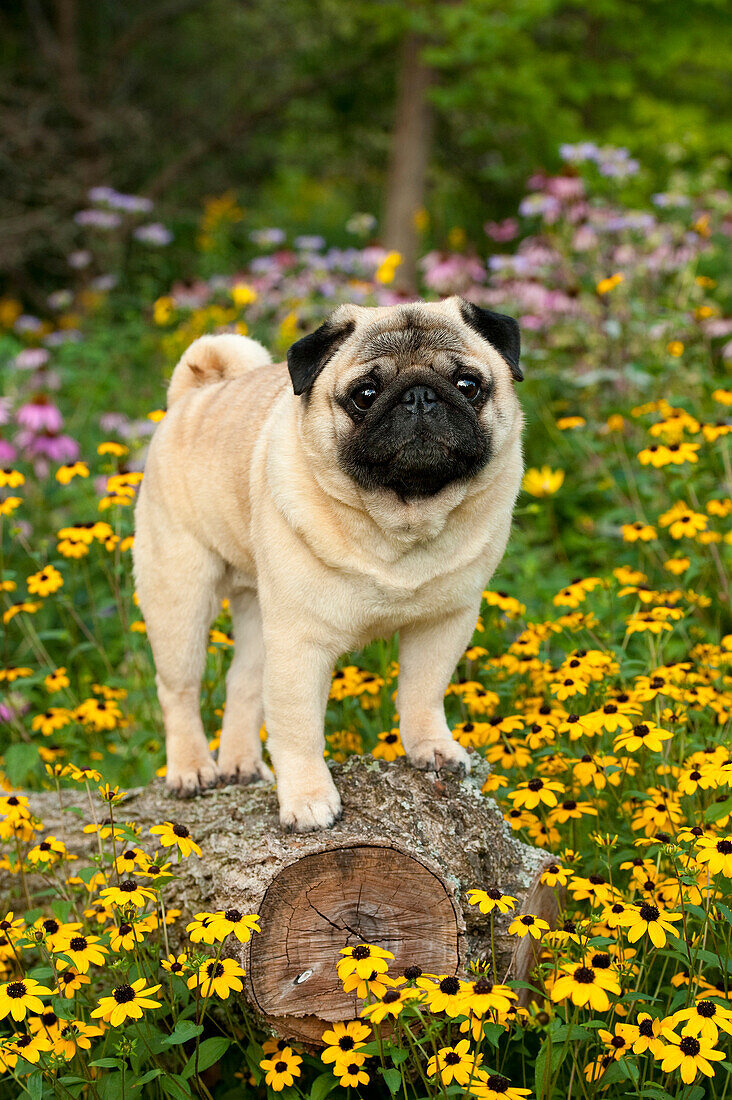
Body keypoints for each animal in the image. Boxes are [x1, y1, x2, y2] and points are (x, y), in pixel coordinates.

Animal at [134, 297, 521, 827]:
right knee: (179, 690)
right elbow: (298, 731)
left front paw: (432, 748)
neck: (402, 520)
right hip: (181, 599)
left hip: (259, 612)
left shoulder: (443, 624)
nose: (420, 397)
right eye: (365, 395)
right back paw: (192, 769)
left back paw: (240, 764)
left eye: (468, 385)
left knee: (243, 682)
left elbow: (422, 693)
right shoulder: (300, 644)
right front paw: (308, 800)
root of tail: (195, 393)